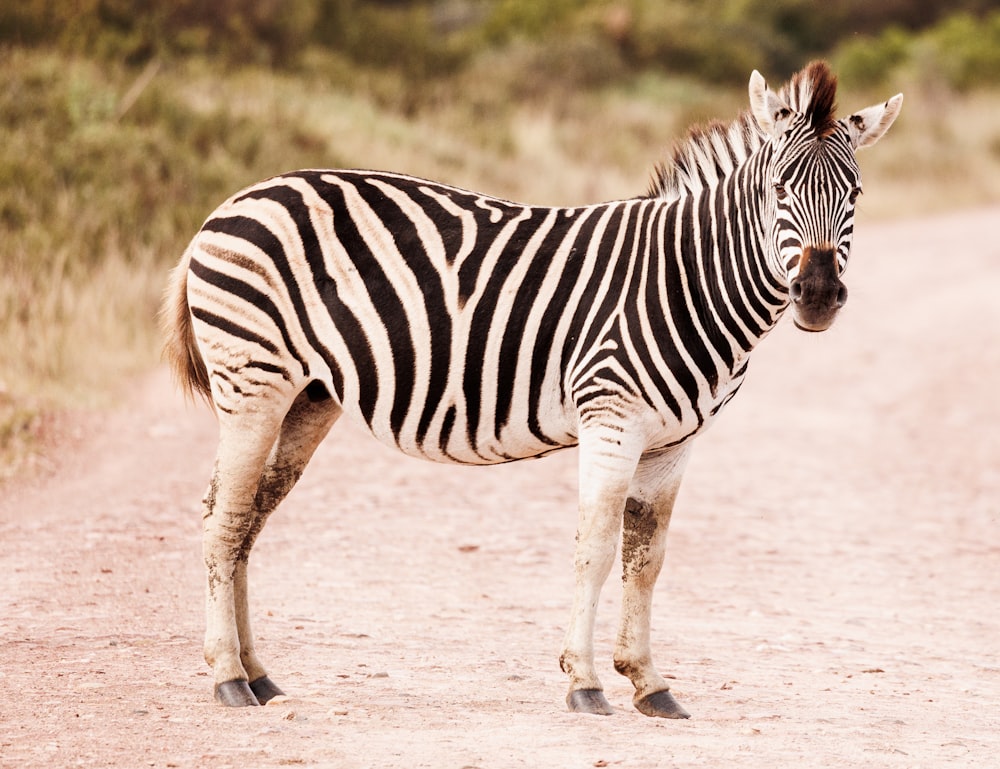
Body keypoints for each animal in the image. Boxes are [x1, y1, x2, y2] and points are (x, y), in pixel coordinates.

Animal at [162, 61, 900, 720]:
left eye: (856, 195)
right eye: (778, 189)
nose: (817, 295)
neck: (688, 280)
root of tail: (235, 200)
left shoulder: (673, 445)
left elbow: (647, 559)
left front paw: (649, 683)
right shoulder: (612, 418)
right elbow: (595, 549)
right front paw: (586, 683)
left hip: (308, 396)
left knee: (248, 518)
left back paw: (258, 673)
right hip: (253, 381)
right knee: (223, 519)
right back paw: (228, 676)